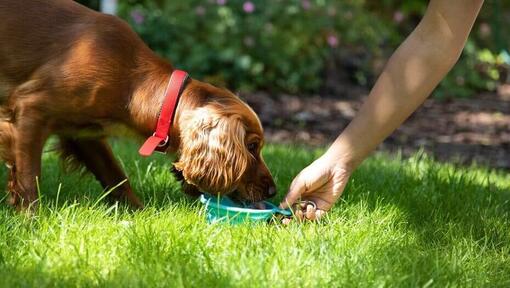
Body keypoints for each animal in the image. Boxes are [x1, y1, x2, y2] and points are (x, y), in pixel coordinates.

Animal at [0, 0, 276, 212]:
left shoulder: (83, 134)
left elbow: (116, 176)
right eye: (252, 147)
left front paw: (138, 215)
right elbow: (28, 178)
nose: (273, 190)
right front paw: (31, 220)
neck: (132, 82)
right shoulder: (31, 110)